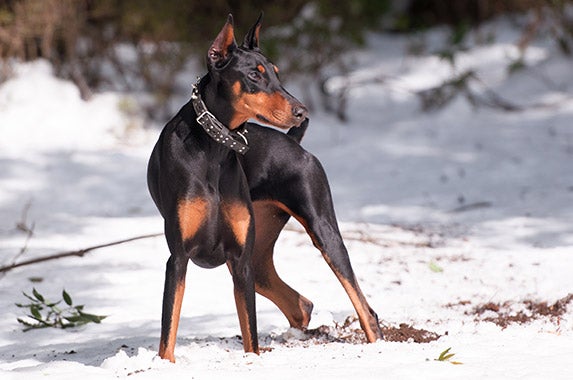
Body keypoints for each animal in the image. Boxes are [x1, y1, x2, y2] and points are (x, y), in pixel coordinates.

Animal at [146, 14, 380, 364]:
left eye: (276, 73)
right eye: (254, 75)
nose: (301, 110)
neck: (213, 148)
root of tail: (295, 143)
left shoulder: (239, 259)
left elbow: (250, 332)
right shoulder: (179, 257)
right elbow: (168, 330)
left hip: (321, 231)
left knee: (364, 307)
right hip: (258, 257)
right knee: (301, 305)